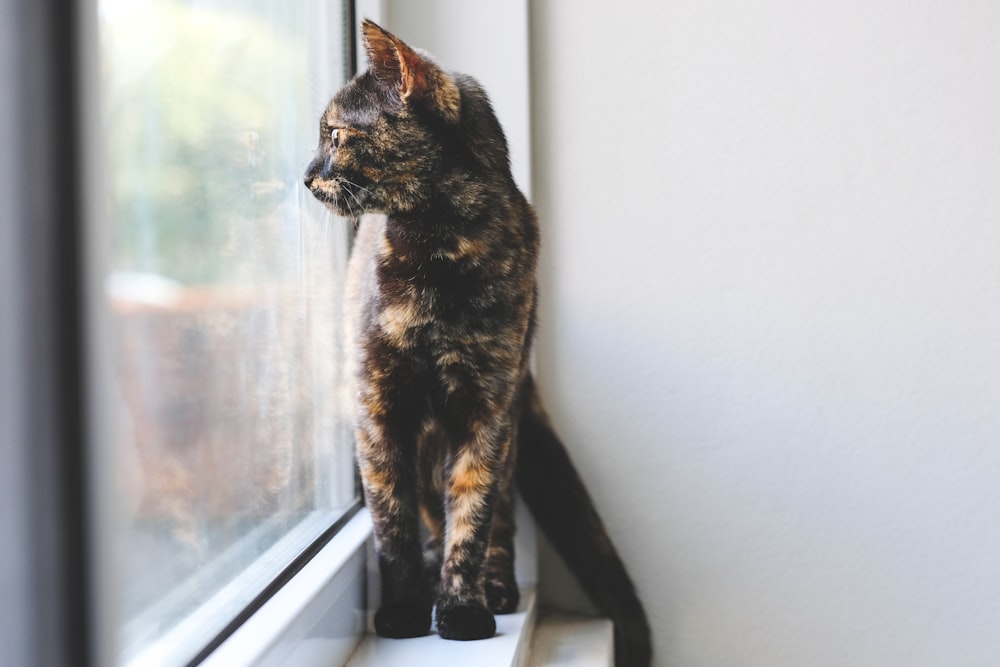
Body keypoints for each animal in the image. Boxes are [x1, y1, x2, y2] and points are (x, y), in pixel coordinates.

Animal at [300, 18, 652, 664]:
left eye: (335, 134)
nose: (306, 176)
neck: (440, 246)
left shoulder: (486, 407)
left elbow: (474, 508)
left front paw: (463, 609)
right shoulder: (378, 405)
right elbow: (391, 520)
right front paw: (407, 609)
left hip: (505, 415)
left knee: (501, 511)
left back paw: (498, 587)